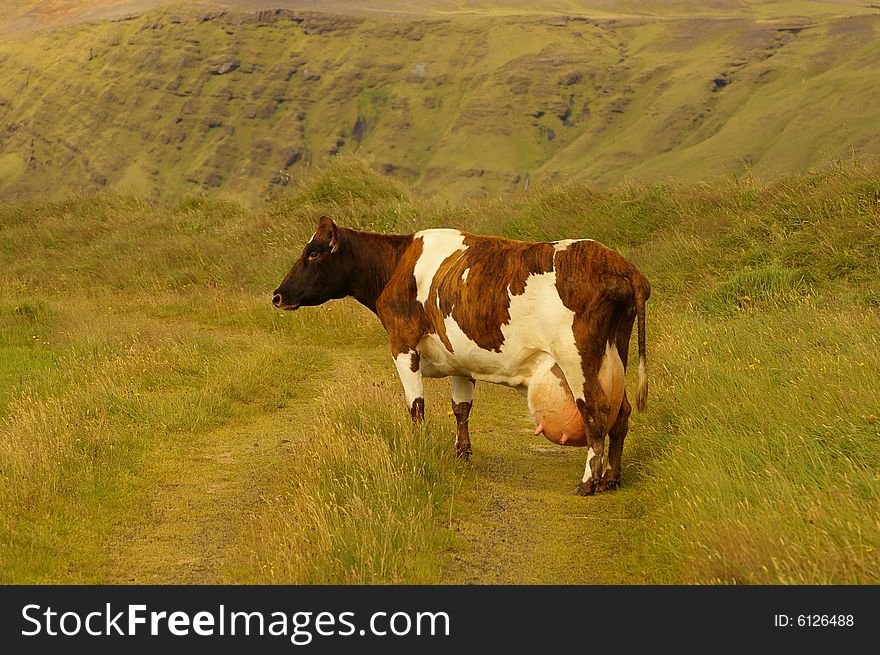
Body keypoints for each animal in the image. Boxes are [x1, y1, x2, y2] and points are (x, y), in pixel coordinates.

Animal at [272, 217, 648, 498]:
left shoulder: (402, 345)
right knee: (622, 413)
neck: (398, 264)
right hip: (616, 352)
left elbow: (416, 406)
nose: (277, 295)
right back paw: (611, 478)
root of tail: (617, 262)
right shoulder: (460, 358)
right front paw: (462, 454)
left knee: (597, 413)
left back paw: (588, 483)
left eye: (314, 254)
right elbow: (461, 408)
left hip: (576, 357)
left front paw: (418, 449)